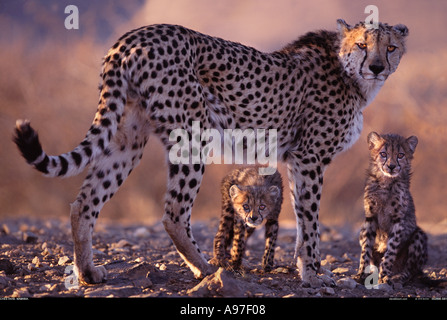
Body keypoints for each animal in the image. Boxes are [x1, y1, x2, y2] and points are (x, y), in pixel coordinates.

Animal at [14, 19, 410, 284]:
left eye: (390, 47)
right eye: (362, 45)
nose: (377, 66)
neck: (350, 73)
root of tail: (134, 35)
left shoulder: (298, 161)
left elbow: (301, 220)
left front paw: (307, 269)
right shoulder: (309, 157)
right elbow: (310, 221)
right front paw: (313, 274)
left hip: (128, 136)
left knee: (84, 202)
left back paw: (88, 272)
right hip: (192, 135)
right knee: (173, 212)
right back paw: (207, 270)